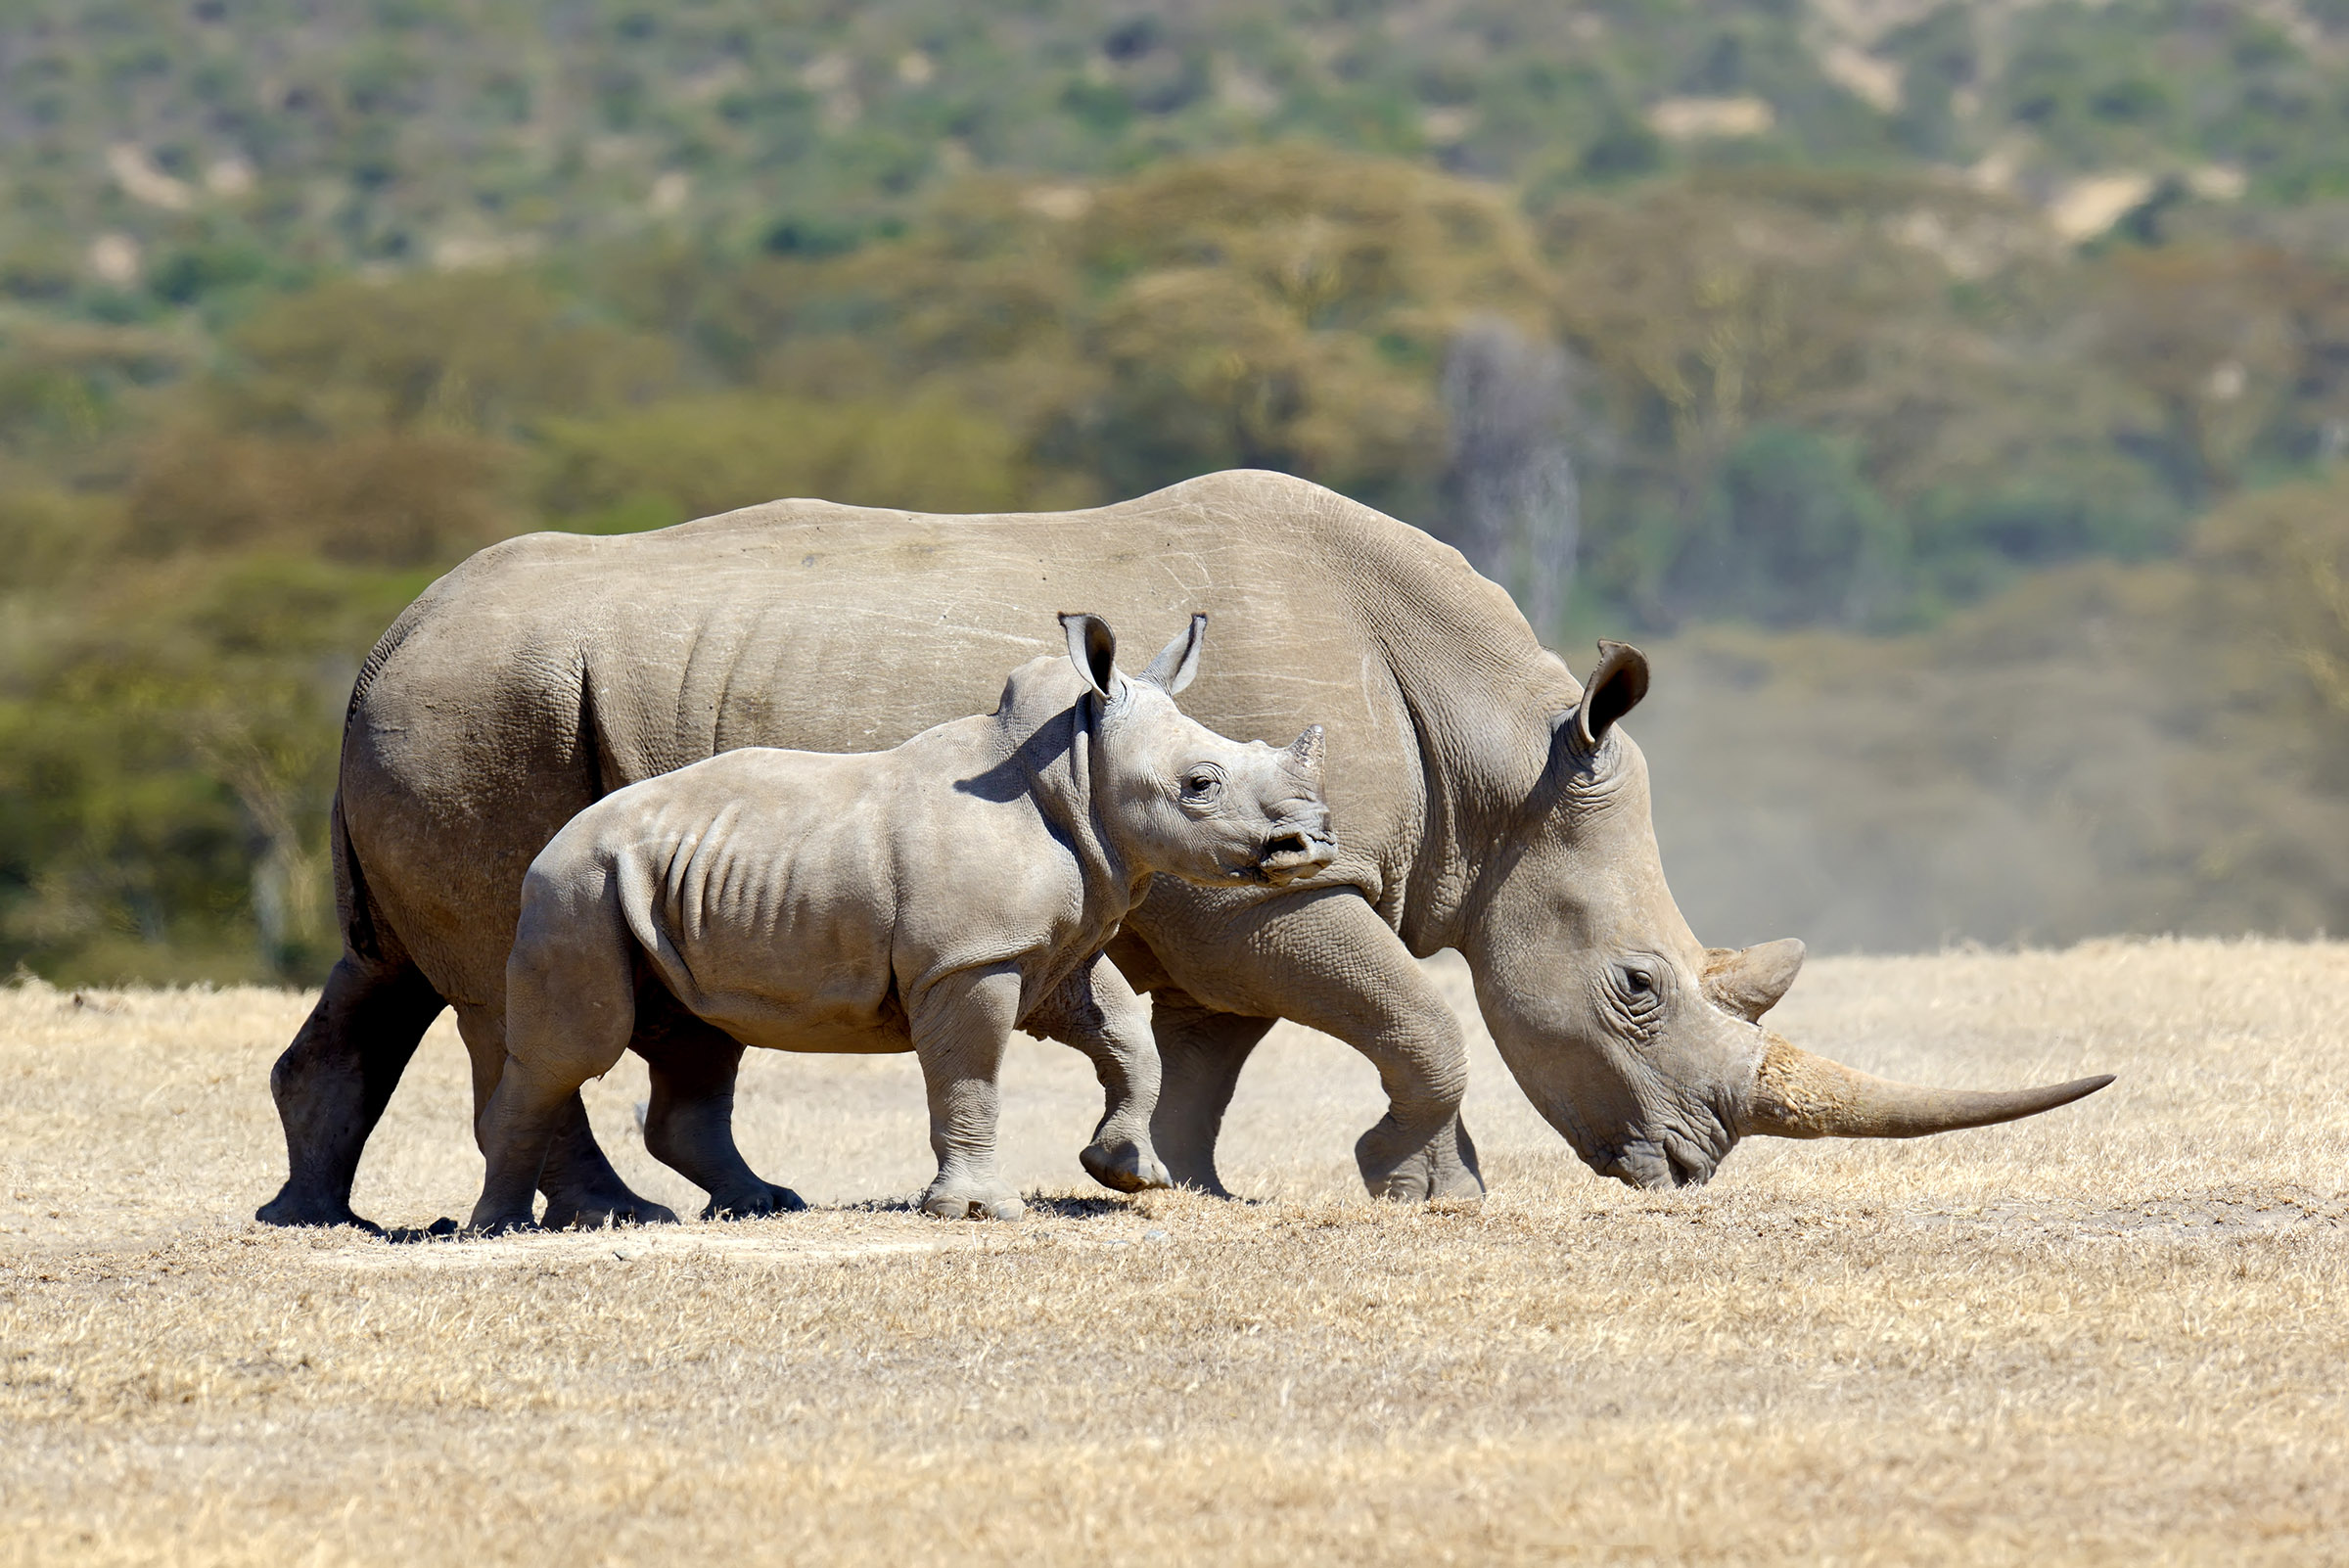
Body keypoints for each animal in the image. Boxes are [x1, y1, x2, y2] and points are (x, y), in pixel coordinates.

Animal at [467, 605, 1334, 1229]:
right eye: (1200, 785)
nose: (1314, 842)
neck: (1076, 769)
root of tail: (556, 840)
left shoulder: (1051, 946)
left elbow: (1126, 1036)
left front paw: (1129, 1174)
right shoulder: (972, 955)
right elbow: (972, 1074)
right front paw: (980, 1211)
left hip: (653, 886)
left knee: (700, 1036)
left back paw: (762, 1205)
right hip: (575, 887)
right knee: (576, 1046)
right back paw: (499, 1228)